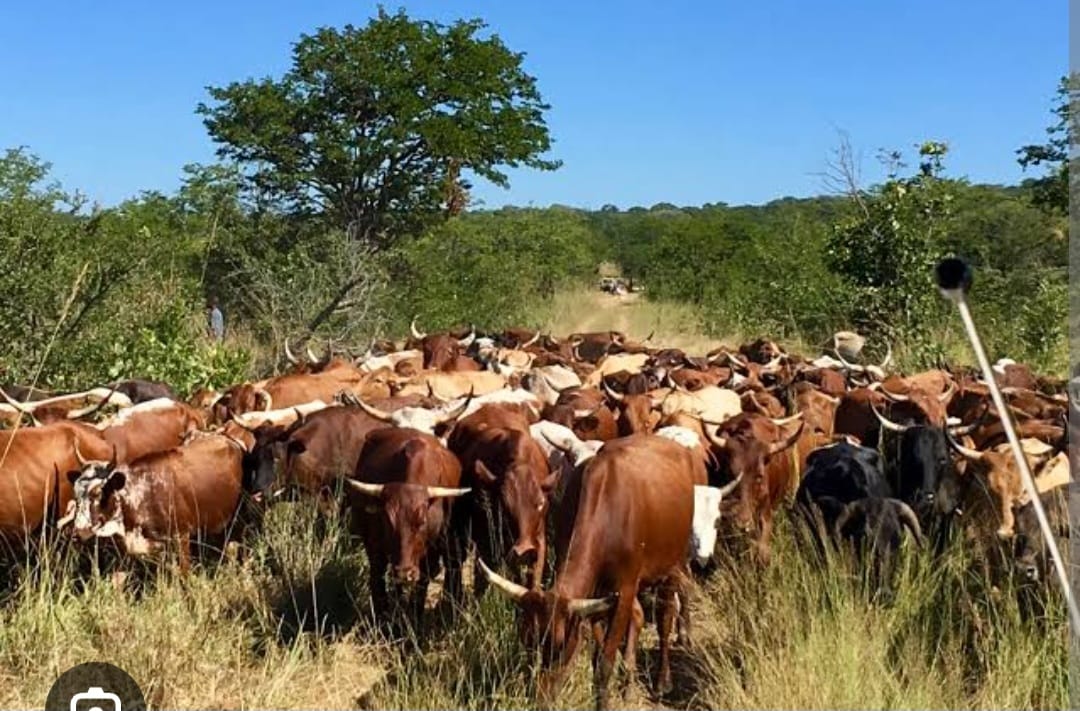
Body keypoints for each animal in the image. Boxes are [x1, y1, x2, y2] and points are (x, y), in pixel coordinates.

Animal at [345, 428, 469, 625]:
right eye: (387, 520)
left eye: (422, 522)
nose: (405, 572)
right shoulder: (376, 546)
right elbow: (378, 579)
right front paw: (383, 618)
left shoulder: (430, 552)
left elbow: (421, 585)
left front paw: (415, 618)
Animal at [479, 434, 705, 709]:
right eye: (527, 640)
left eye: (560, 645)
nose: (539, 699)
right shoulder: (595, 596)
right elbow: (597, 657)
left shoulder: (624, 591)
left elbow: (605, 663)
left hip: (674, 562)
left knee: (665, 618)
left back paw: (663, 680)